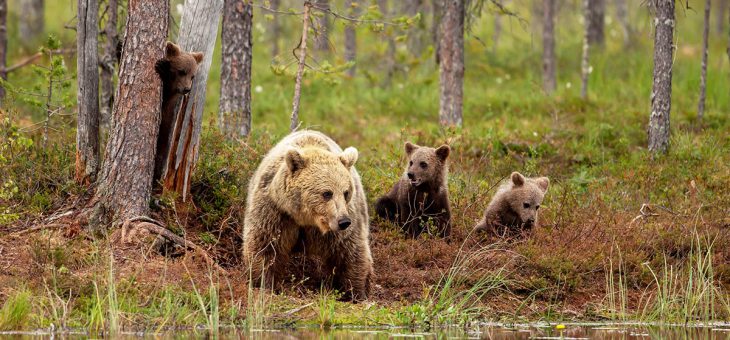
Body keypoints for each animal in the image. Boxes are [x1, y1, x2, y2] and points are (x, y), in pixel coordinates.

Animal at [243, 130, 372, 300]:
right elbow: (265, 245)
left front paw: (354, 292)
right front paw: (263, 283)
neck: (306, 219)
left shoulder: (346, 220)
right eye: (327, 193)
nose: (344, 221)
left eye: (346, 192)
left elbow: (349, 252)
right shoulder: (275, 210)